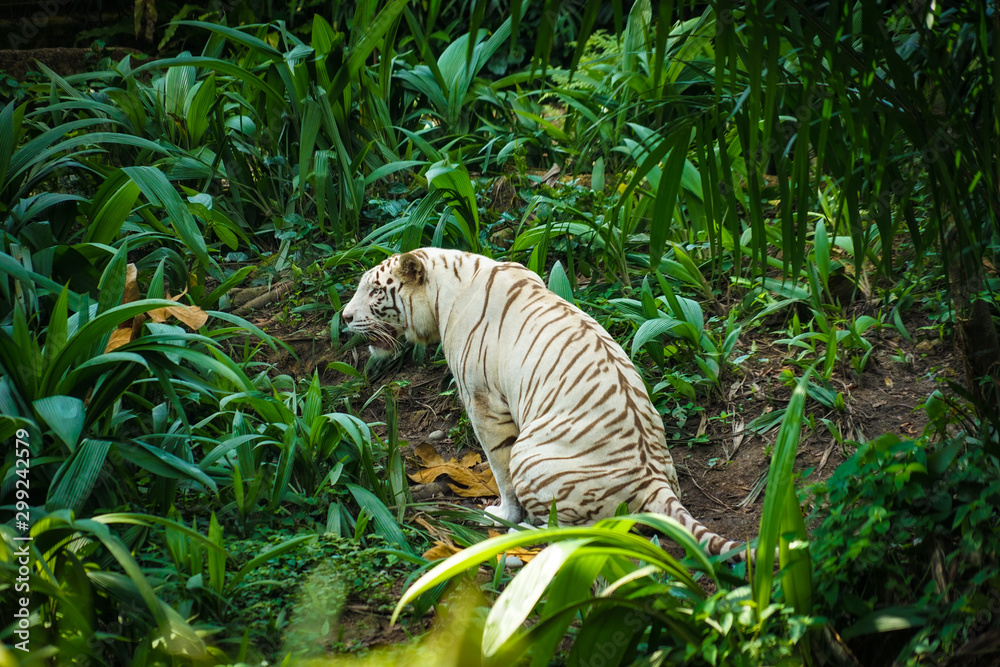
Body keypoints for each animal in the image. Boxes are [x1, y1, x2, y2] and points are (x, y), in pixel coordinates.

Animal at [342, 248, 744, 560]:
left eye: (375, 291)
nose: (344, 318)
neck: (446, 293)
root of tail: (655, 481)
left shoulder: (483, 403)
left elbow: (500, 470)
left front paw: (503, 513)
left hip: (530, 456)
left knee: (574, 532)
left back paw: (517, 536)